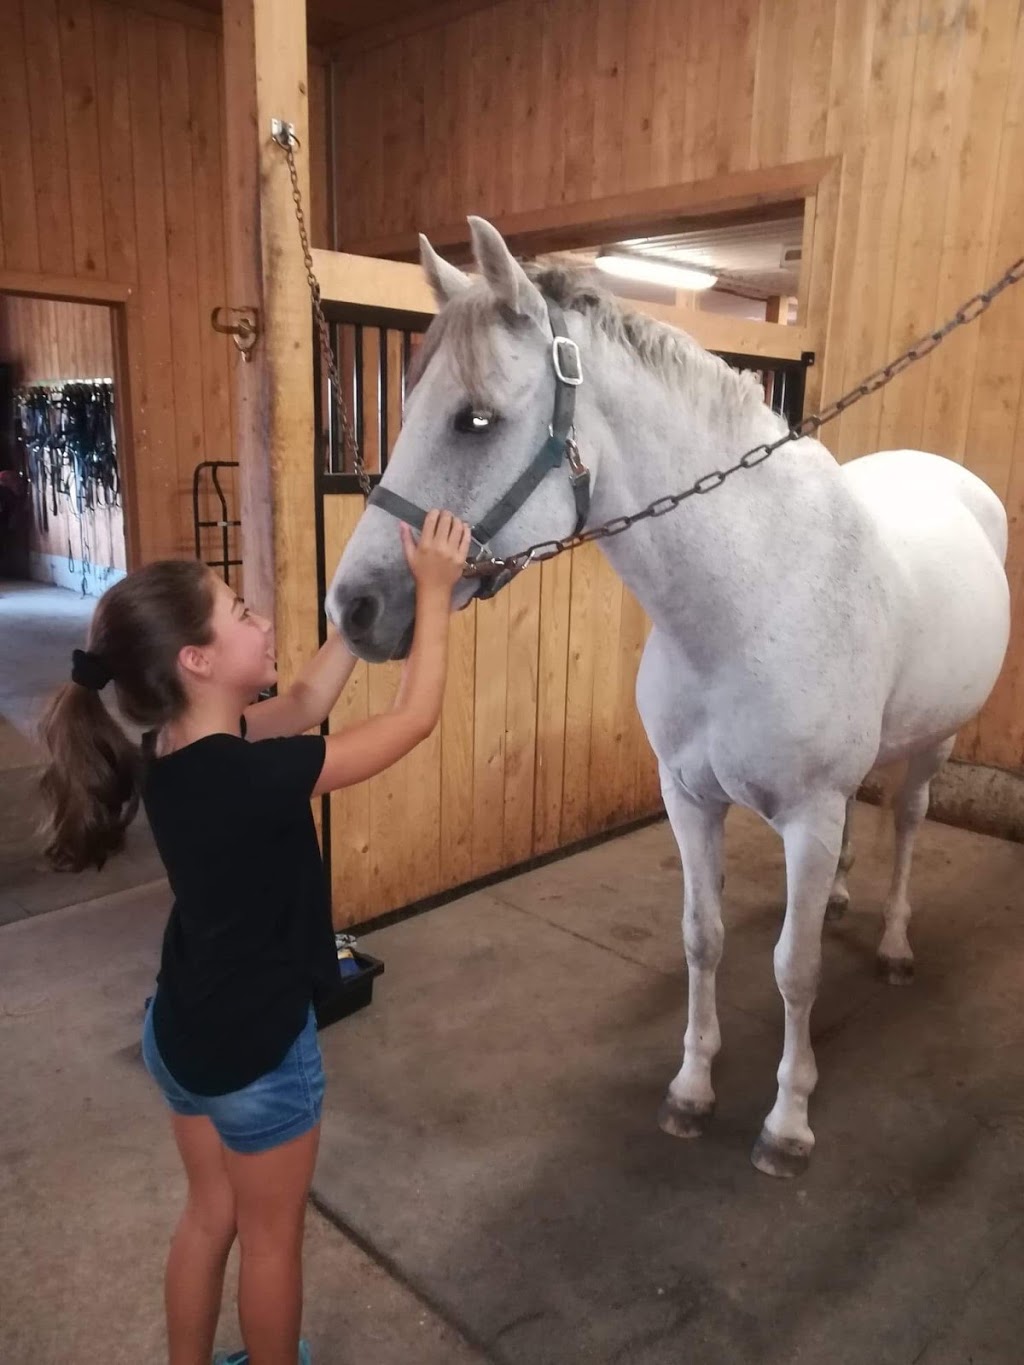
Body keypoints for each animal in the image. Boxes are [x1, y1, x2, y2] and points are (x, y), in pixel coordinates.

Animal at [329, 218, 1010, 1179]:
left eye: (475, 419)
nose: (352, 608)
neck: (750, 599)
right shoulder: (688, 799)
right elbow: (703, 936)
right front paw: (691, 1089)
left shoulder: (807, 813)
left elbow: (795, 967)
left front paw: (787, 1121)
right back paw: (844, 896)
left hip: (936, 744)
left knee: (909, 821)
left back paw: (894, 944)